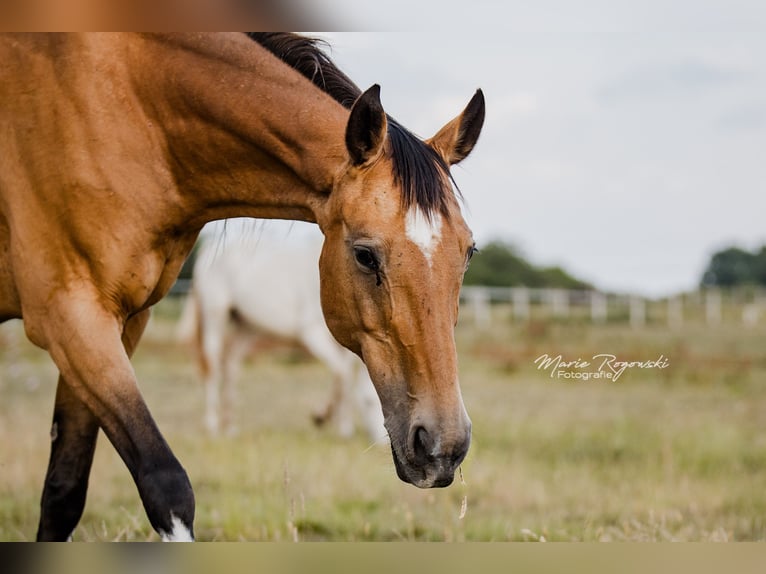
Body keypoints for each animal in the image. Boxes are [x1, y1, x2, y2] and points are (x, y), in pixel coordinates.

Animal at [177, 237, 385, 442]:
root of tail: (209, 248)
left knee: (230, 366)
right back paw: (212, 426)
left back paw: (230, 427)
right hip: (215, 315)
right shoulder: (312, 333)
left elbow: (343, 378)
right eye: (370, 402)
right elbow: (343, 375)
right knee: (212, 366)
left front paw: (339, 425)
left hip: (246, 328)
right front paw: (325, 419)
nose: (382, 442)